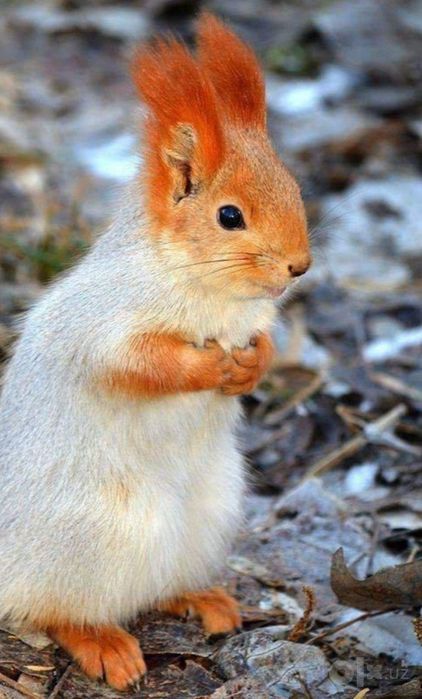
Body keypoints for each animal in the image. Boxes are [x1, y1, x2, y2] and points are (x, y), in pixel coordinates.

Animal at [0, 12, 311, 691]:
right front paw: (209, 365)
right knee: (53, 610)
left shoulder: (256, 319)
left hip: (206, 517)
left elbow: (266, 345)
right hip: (96, 537)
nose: (300, 266)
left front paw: (248, 365)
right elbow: (140, 364)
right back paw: (104, 644)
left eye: (296, 188)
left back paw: (202, 600)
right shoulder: (102, 325)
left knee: (156, 587)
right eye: (229, 216)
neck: (216, 296)